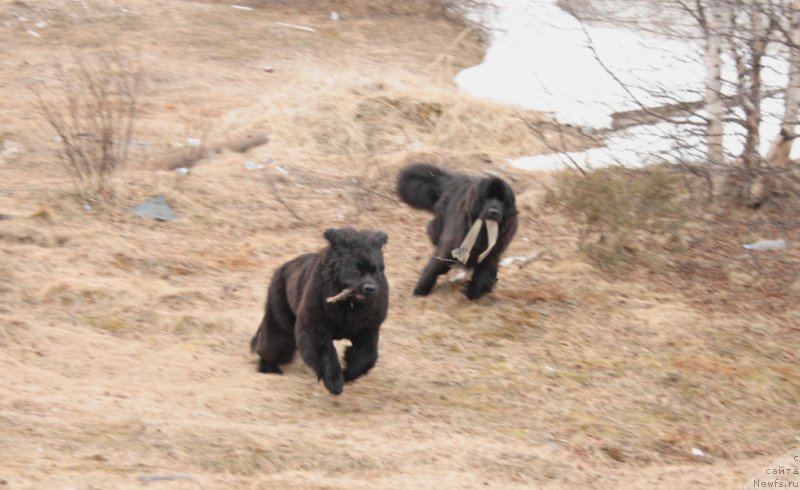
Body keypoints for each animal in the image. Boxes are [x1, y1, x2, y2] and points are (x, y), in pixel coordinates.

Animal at [248, 229, 390, 394]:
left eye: (376, 271)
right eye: (355, 269)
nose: (370, 288)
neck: (349, 305)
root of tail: (283, 267)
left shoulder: (367, 329)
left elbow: (367, 356)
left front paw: (347, 374)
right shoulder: (314, 326)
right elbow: (326, 354)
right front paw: (334, 382)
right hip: (280, 321)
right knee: (271, 344)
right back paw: (268, 368)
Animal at [396, 163, 520, 298]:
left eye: (503, 200)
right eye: (486, 198)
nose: (494, 212)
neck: (483, 232)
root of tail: (452, 180)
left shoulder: (491, 255)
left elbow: (483, 275)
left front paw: (474, 292)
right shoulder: (450, 246)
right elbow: (435, 266)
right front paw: (421, 289)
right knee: (432, 230)